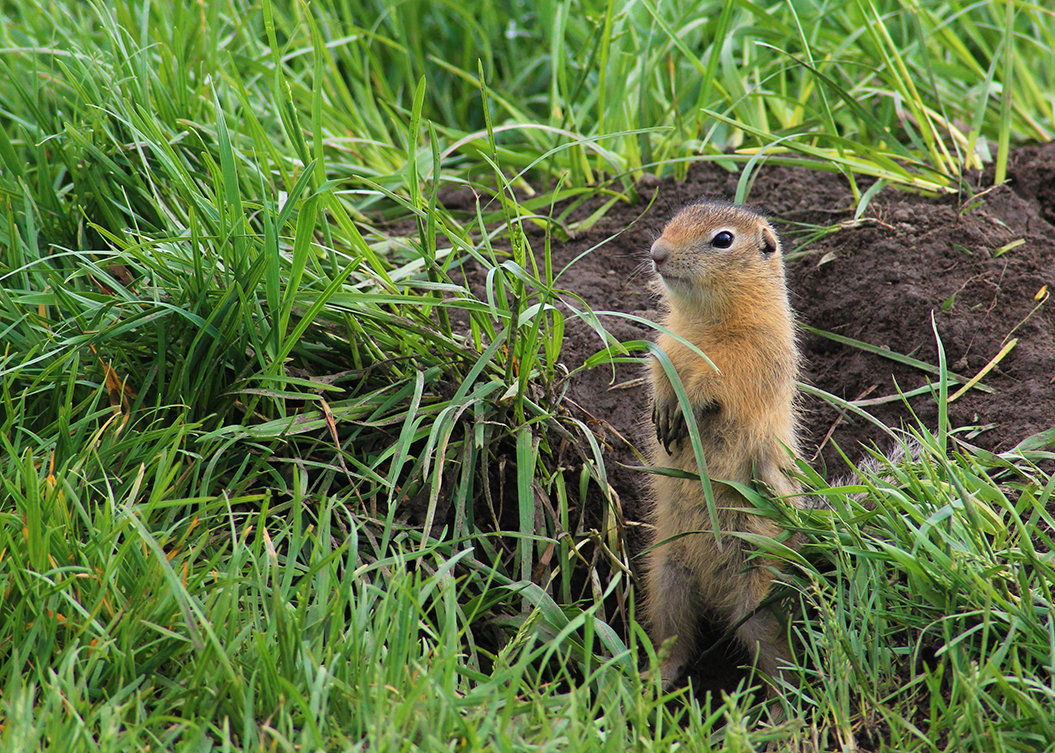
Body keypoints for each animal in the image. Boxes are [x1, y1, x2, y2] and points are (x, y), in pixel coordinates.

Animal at [637, 198, 801, 687]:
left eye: (723, 239)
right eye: (672, 220)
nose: (657, 253)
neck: (703, 321)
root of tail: (712, 591)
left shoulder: (751, 355)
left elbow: (719, 385)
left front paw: (688, 406)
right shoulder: (667, 344)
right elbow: (659, 369)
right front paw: (663, 408)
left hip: (759, 594)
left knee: (774, 653)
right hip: (665, 577)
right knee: (676, 640)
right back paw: (654, 679)